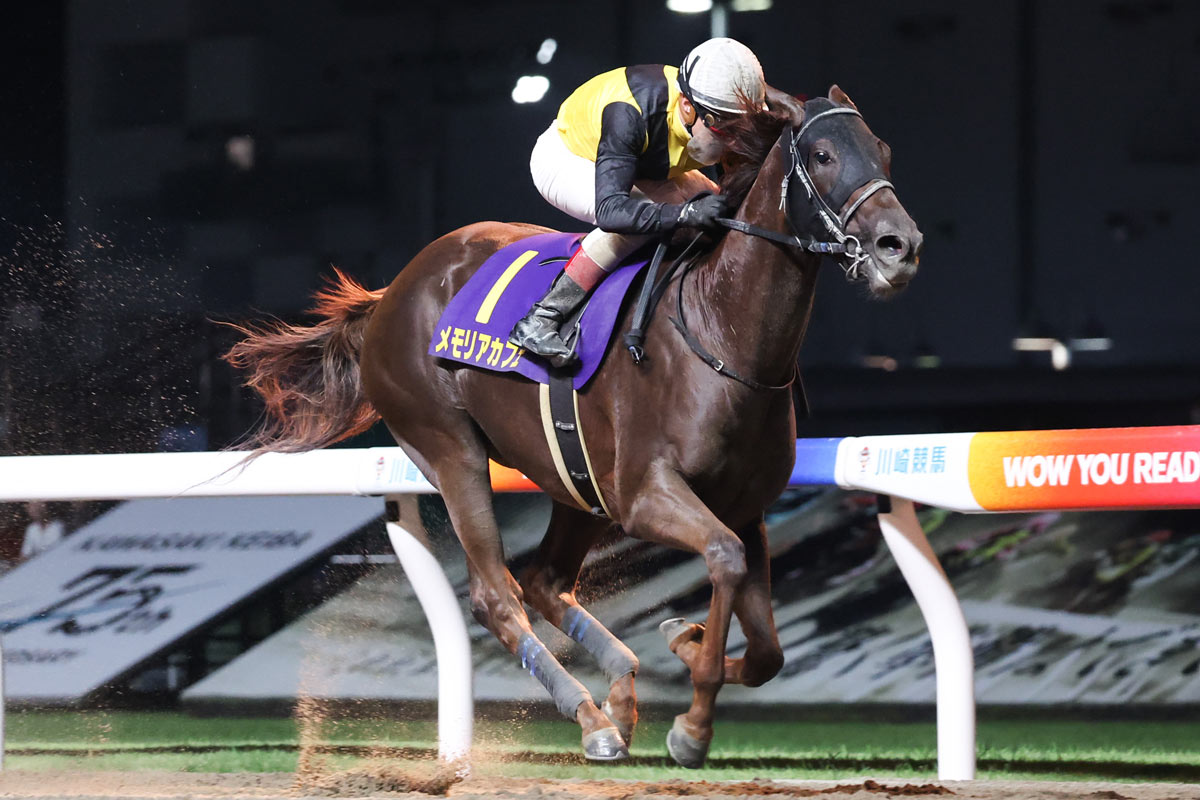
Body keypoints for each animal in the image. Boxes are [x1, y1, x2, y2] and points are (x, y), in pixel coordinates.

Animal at [224, 86, 922, 768]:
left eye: (884, 149)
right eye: (824, 156)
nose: (901, 246)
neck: (720, 333)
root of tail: (390, 293)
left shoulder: (746, 509)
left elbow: (769, 651)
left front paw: (686, 641)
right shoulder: (644, 495)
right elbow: (722, 559)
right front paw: (692, 724)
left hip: (575, 478)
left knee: (546, 581)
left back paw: (619, 694)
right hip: (450, 450)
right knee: (497, 595)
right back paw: (590, 716)